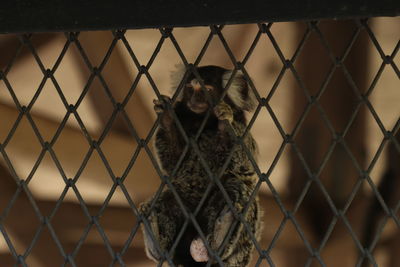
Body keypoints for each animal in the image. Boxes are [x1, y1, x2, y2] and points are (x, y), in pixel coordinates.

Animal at [138, 65, 262, 267]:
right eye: (191, 88)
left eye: (207, 90)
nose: (195, 100)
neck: (203, 123)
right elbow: (173, 163)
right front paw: (167, 118)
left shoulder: (243, 132)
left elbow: (241, 163)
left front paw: (224, 122)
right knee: (168, 198)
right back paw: (155, 241)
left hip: (240, 249)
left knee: (236, 189)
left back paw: (221, 235)